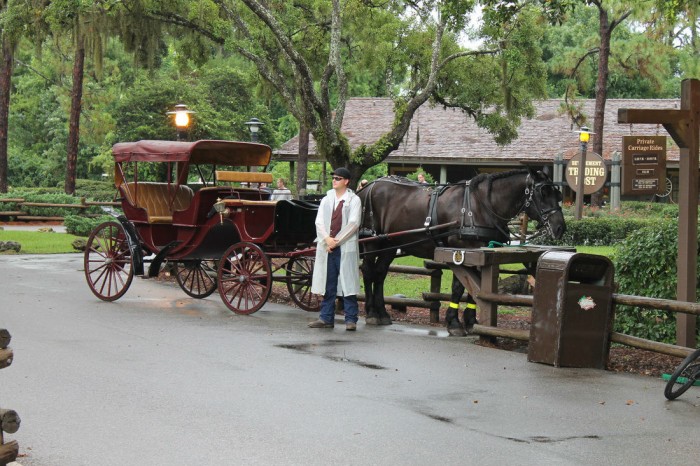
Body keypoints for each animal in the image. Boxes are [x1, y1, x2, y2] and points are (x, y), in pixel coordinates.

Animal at [358, 167, 568, 334]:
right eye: (543, 193)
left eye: (558, 194)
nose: (560, 228)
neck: (481, 206)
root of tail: (367, 188)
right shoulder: (460, 250)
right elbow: (459, 287)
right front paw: (454, 322)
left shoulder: (480, 254)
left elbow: (474, 287)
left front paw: (470, 320)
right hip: (372, 242)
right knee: (368, 272)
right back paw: (371, 312)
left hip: (389, 245)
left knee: (380, 273)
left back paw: (382, 312)